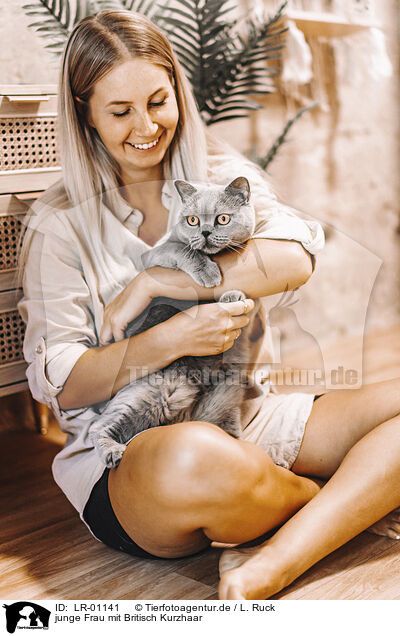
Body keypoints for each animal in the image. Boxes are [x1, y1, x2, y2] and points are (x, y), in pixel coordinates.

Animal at [89, 176, 255, 470]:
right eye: (192, 220)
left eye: (222, 219)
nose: (205, 232)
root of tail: (183, 418)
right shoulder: (155, 255)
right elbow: (182, 250)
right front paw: (209, 274)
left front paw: (232, 297)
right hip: (148, 396)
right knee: (99, 427)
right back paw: (115, 453)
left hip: (222, 399)